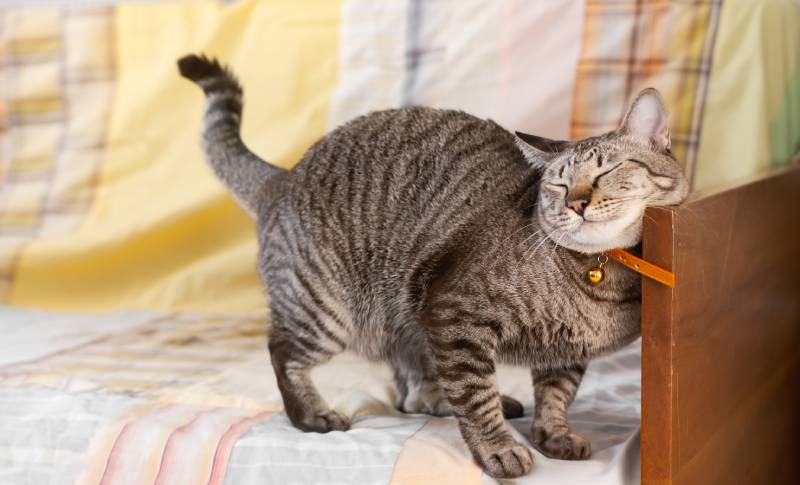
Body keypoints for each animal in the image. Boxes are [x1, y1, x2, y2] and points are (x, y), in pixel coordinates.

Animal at [180, 53, 688, 476]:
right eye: (559, 186)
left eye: (605, 173)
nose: (577, 203)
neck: (599, 277)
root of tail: (283, 177)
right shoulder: (453, 312)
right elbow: (475, 397)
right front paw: (498, 448)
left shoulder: (562, 351)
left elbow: (556, 394)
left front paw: (553, 434)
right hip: (326, 313)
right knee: (283, 352)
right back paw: (312, 414)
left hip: (408, 323)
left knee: (414, 393)